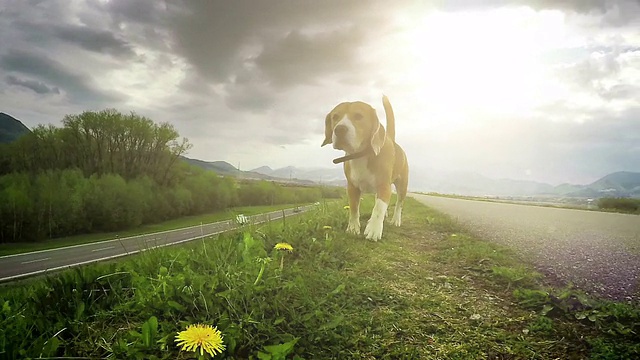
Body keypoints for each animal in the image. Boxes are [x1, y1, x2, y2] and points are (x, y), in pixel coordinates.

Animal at [322, 96, 408, 242]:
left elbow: (378, 208)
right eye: (335, 117)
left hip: (402, 185)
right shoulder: (352, 187)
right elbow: (354, 209)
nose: (339, 129)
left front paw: (374, 229)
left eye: (358, 116)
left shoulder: (384, 185)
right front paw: (353, 228)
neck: (361, 154)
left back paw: (396, 220)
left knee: (399, 204)